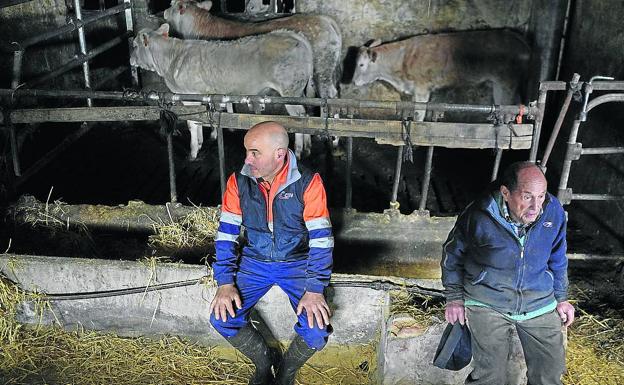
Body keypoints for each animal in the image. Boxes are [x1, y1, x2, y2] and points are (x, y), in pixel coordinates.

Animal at [132, 22, 316, 159]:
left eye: (134, 45)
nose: (130, 59)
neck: (170, 59)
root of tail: (293, 35)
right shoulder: (203, 96)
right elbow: (202, 119)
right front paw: (204, 141)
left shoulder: (189, 97)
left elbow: (192, 123)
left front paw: (193, 152)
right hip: (299, 92)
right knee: (307, 114)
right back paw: (307, 147)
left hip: (290, 92)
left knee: (299, 117)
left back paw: (299, 151)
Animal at [354, 29, 528, 120]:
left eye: (361, 64)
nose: (354, 82)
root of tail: (517, 37)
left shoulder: (422, 89)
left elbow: (418, 115)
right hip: (499, 85)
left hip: (506, 83)